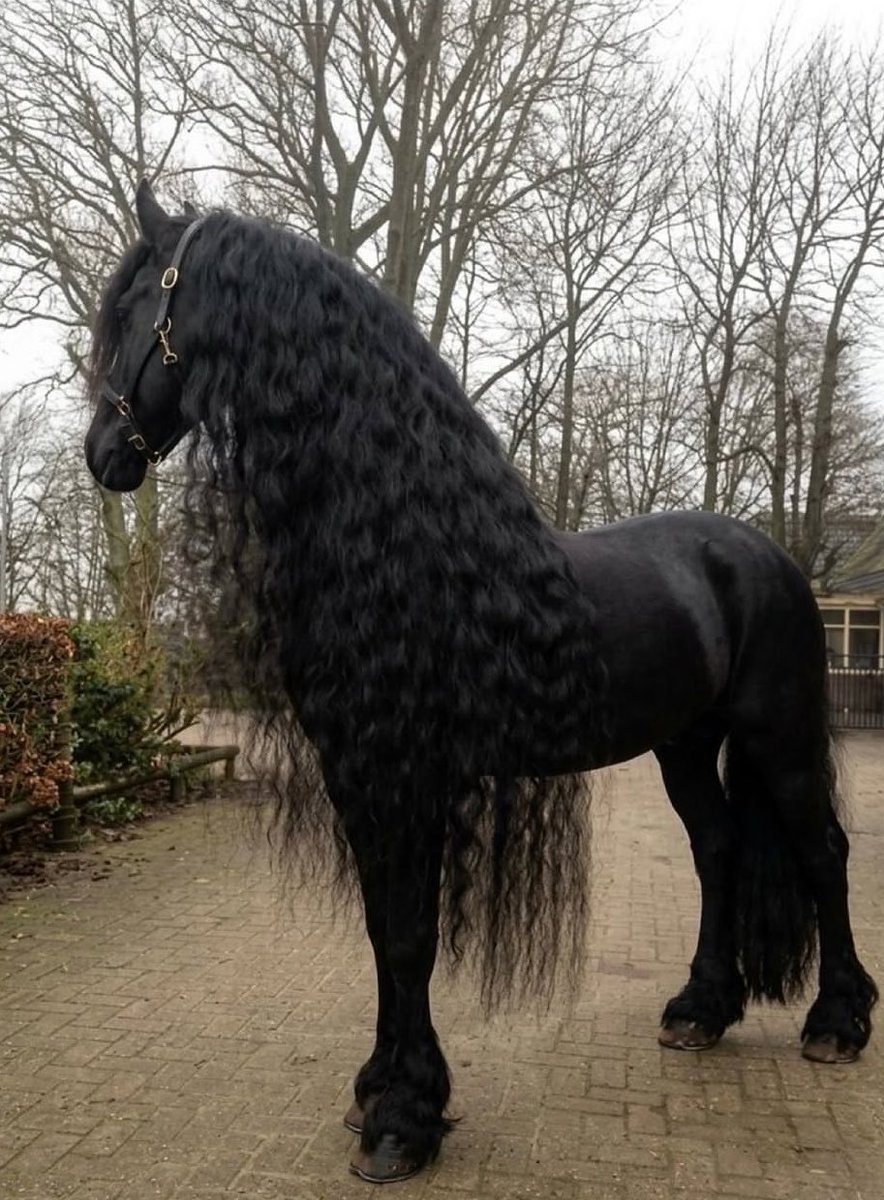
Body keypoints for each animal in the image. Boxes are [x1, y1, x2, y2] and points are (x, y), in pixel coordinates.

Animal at [84, 180, 877, 1185]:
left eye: (139, 312)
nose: (103, 452)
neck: (406, 547)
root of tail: (765, 556)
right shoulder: (357, 774)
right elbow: (383, 929)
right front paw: (378, 1088)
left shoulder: (416, 773)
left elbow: (412, 933)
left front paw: (404, 1120)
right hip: (686, 746)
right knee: (719, 849)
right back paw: (700, 1010)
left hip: (779, 736)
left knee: (823, 852)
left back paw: (837, 1024)